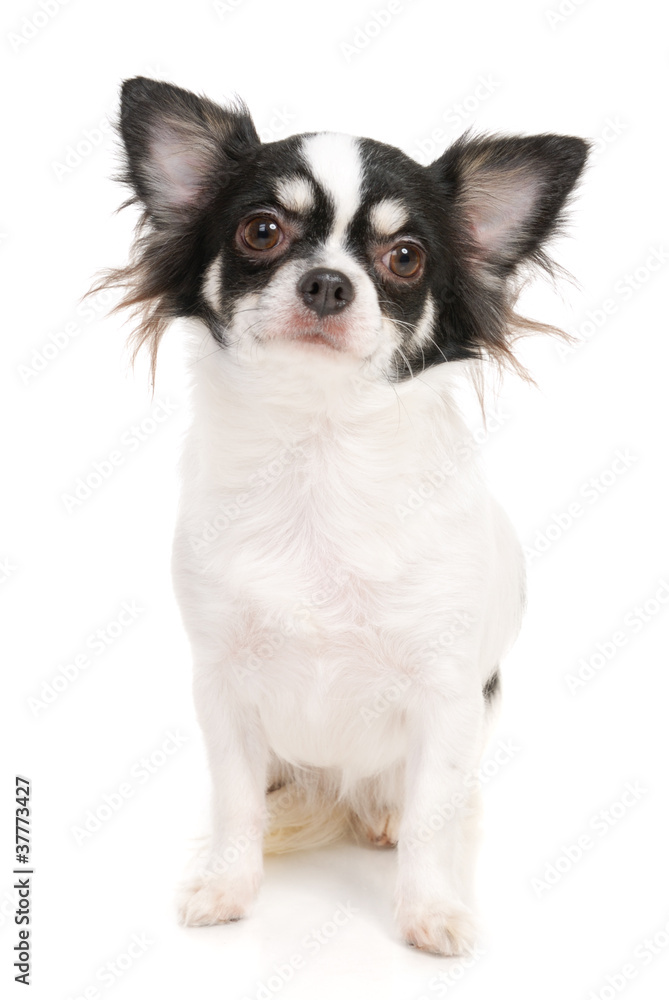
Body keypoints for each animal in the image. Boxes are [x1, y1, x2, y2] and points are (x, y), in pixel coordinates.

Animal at [102, 78, 588, 952]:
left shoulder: (445, 696)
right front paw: (228, 886)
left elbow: (432, 818)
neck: (317, 456)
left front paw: (430, 911)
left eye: (405, 257)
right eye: (261, 231)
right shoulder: (223, 687)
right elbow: (234, 803)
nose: (328, 282)